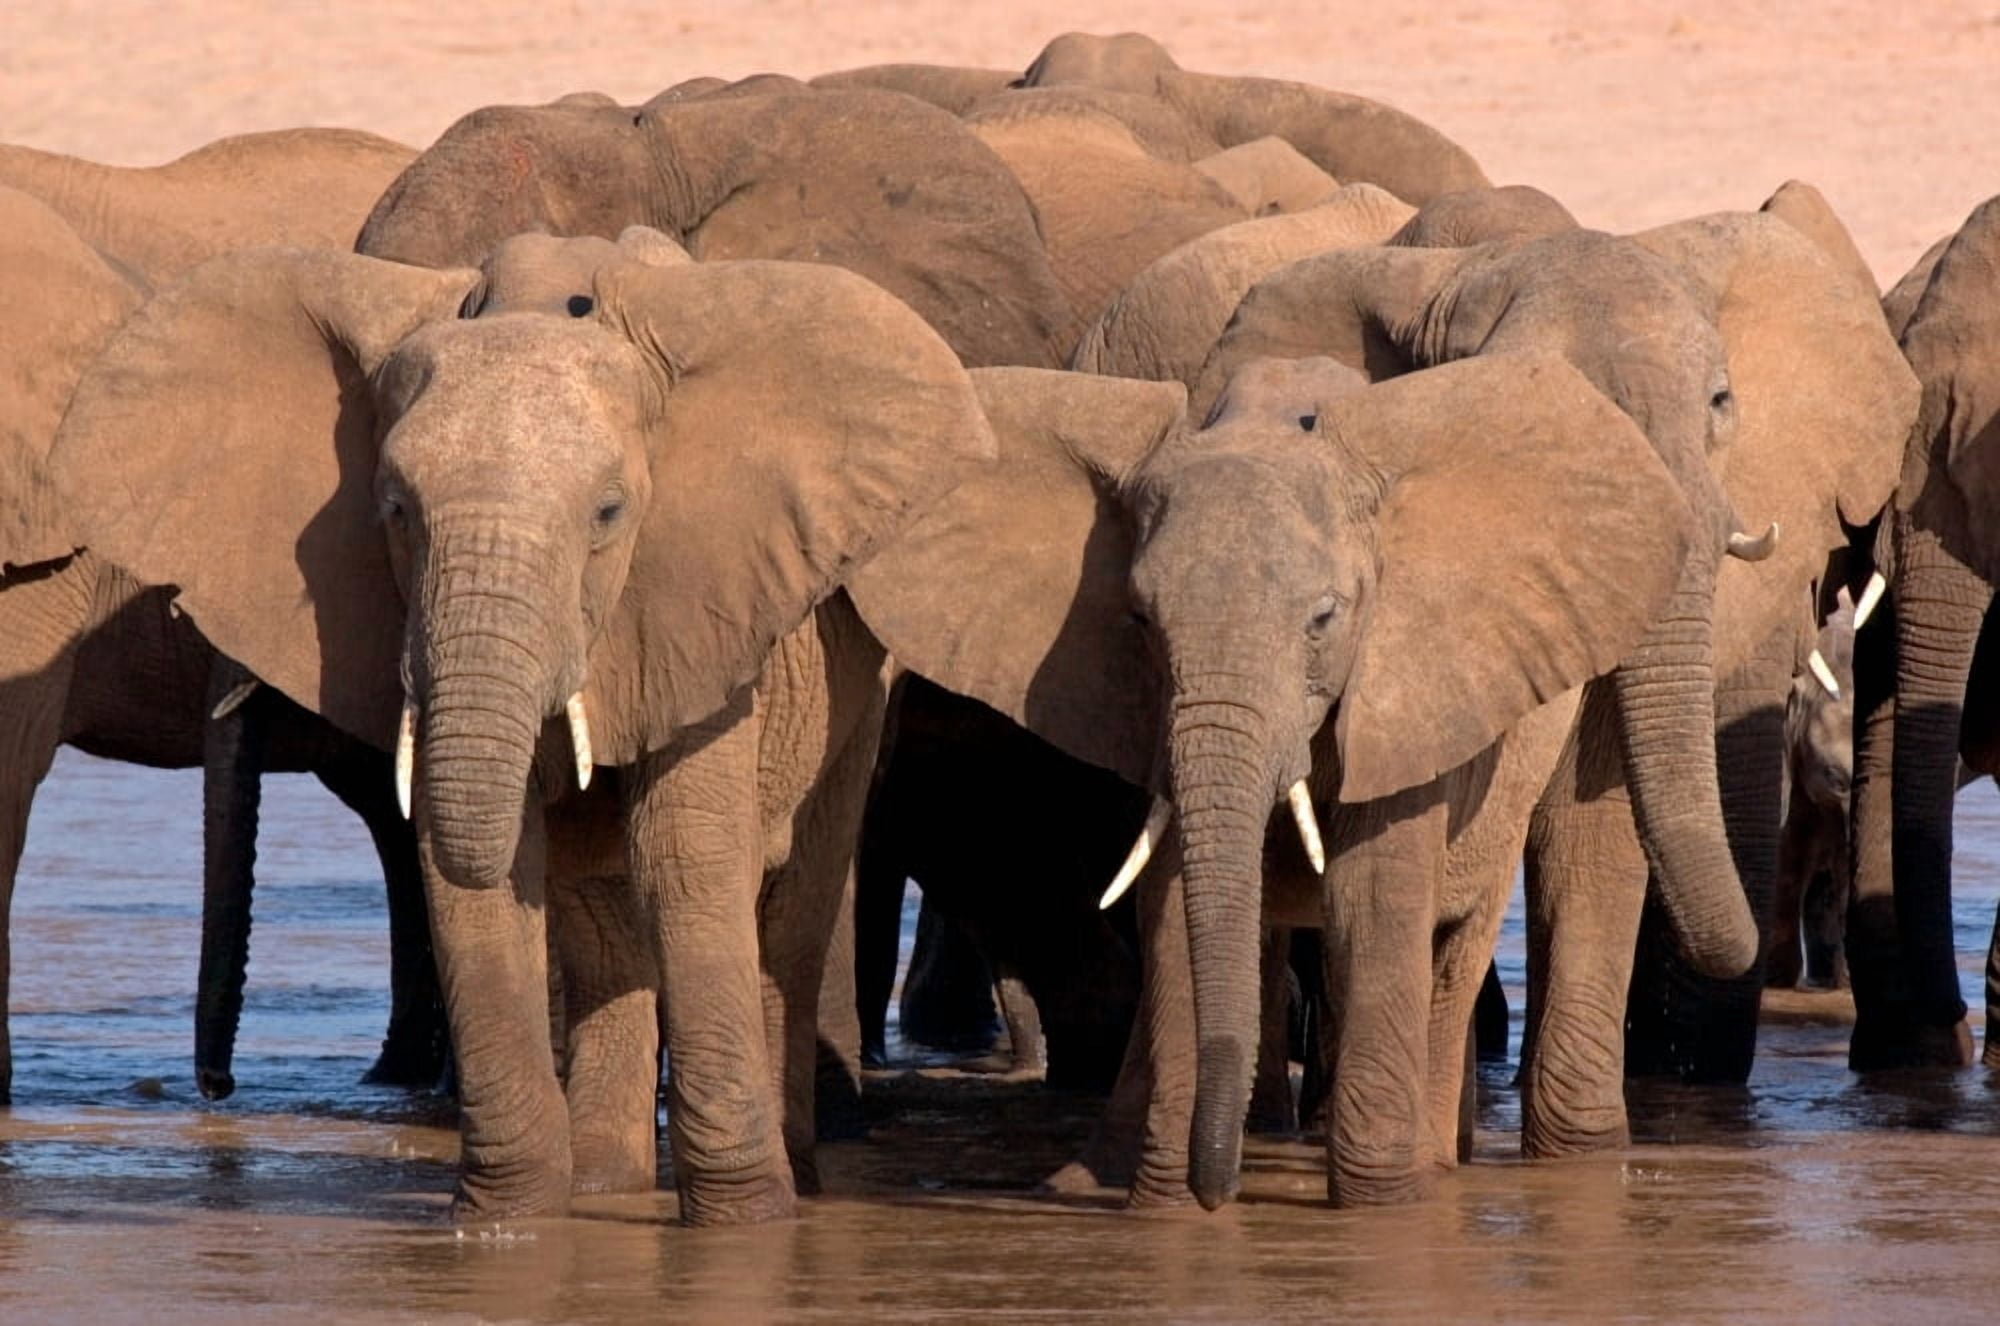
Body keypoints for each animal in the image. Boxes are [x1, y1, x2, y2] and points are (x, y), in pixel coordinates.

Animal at [51, 229, 999, 1225]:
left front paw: (743, 1226)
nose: (215, 1094)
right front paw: (508, 1224)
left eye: (610, 513)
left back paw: (791, 1183)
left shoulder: (706, 605)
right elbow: (474, 874)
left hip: (853, 698)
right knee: (602, 918)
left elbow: (685, 864)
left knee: (791, 905)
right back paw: (605, 1183)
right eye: (395, 510)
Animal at [849, 352, 1699, 1208]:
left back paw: (1430, 1166)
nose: (1215, 1188)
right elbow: (1174, 907)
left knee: (1454, 944)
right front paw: (1167, 1203)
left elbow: (1371, 901)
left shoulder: (1409, 689)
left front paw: (1378, 1204)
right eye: (1139, 620)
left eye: (1324, 618)